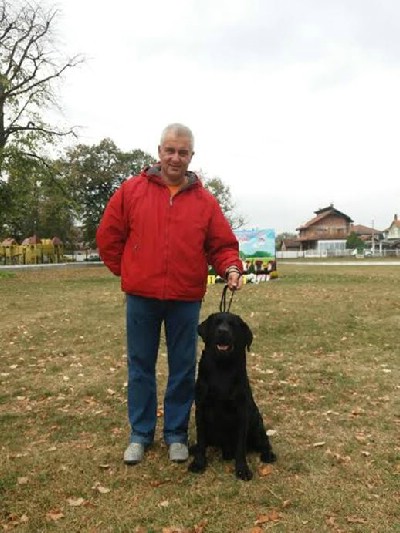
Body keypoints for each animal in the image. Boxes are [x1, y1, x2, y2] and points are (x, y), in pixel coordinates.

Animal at [189, 310, 276, 480]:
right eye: (217, 323)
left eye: (233, 325)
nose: (223, 331)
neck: (222, 367)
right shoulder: (201, 409)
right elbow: (201, 440)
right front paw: (199, 462)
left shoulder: (242, 413)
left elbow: (240, 447)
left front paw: (242, 469)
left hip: (256, 425)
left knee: (264, 442)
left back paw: (268, 455)